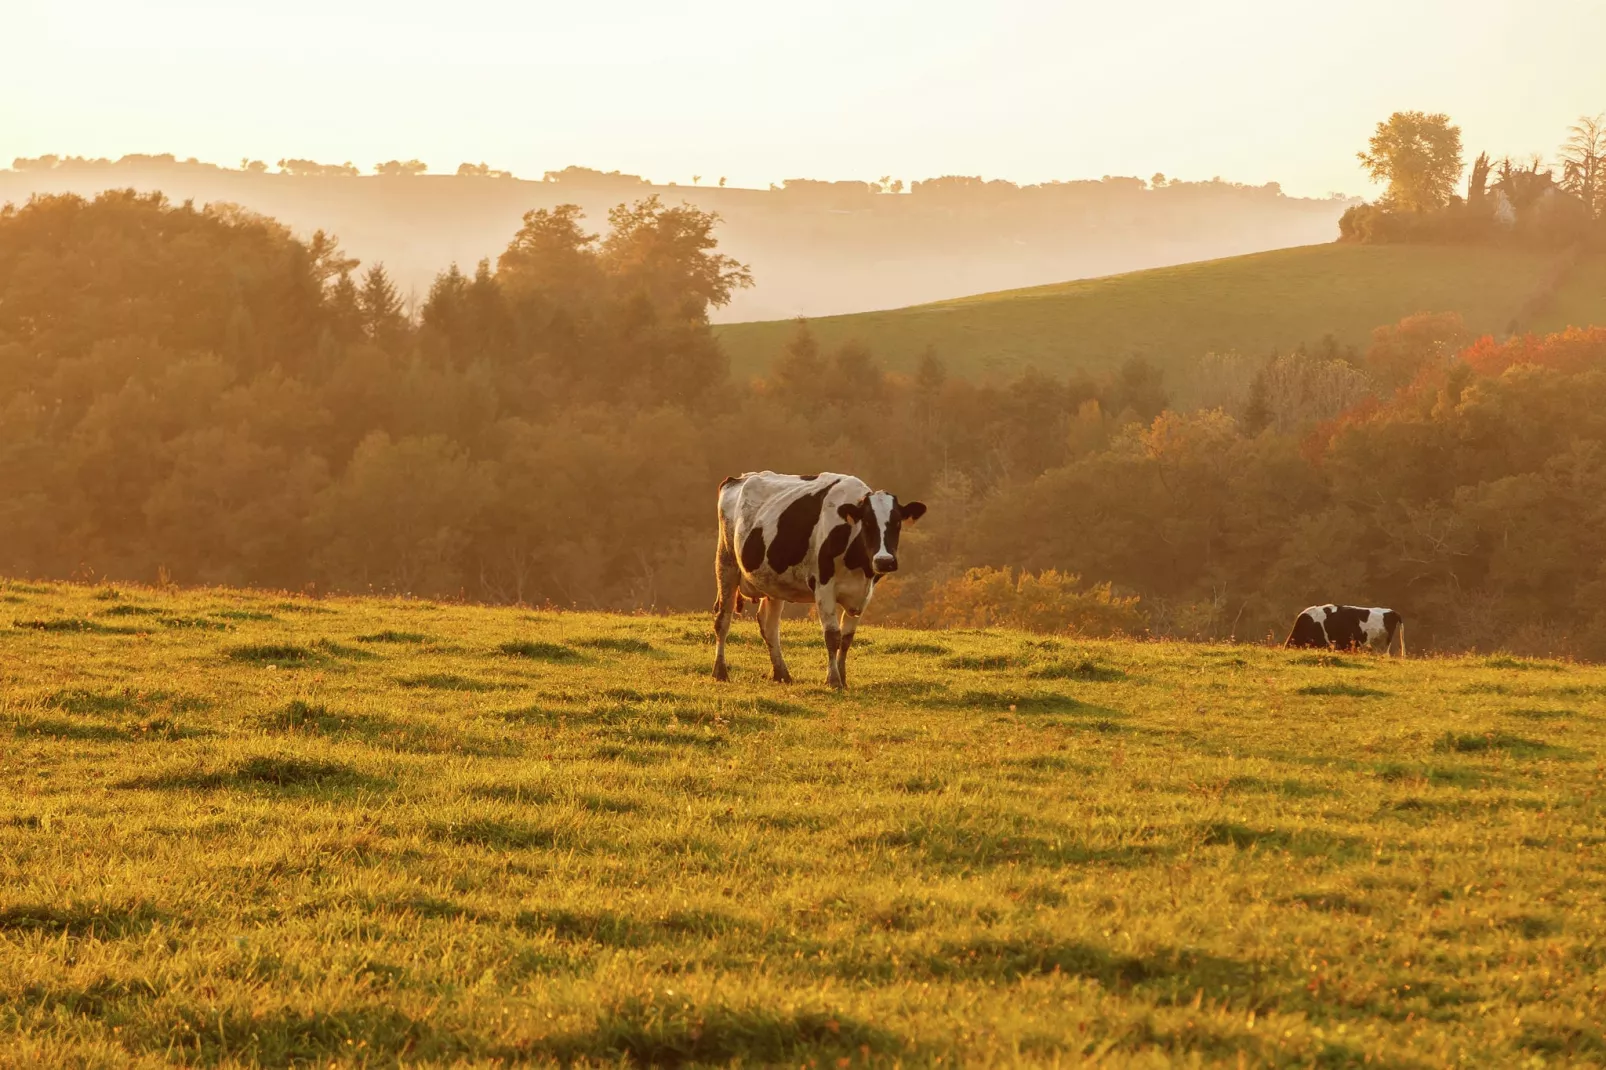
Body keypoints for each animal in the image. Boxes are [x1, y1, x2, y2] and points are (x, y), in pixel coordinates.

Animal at [709, 469, 925, 687]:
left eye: (897, 523)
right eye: (867, 522)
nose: (884, 561)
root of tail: (740, 478)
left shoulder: (864, 593)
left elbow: (847, 638)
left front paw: (843, 677)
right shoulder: (824, 587)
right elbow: (832, 635)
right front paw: (833, 680)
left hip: (773, 581)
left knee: (769, 626)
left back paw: (781, 674)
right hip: (726, 562)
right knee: (723, 619)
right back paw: (720, 672)